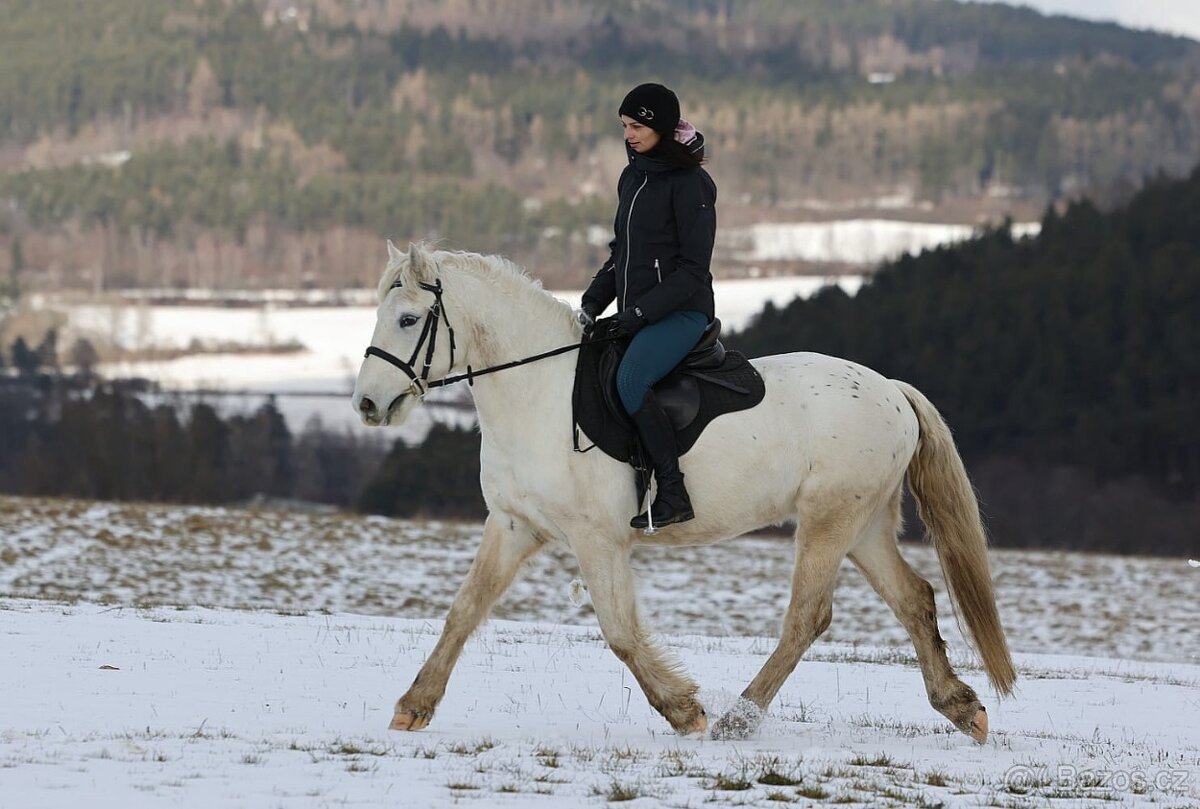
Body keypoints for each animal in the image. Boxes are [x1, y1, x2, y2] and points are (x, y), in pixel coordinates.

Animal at [352, 241, 1016, 743]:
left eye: (408, 319)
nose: (366, 405)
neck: (538, 393)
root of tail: (891, 390)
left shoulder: (598, 540)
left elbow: (620, 631)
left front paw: (683, 710)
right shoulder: (514, 526)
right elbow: (463, 610)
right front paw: (413, 706)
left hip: (829, 521)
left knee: (808, 616)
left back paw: (736, 722)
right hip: (865, 524)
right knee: (915, 600)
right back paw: (963, 709)